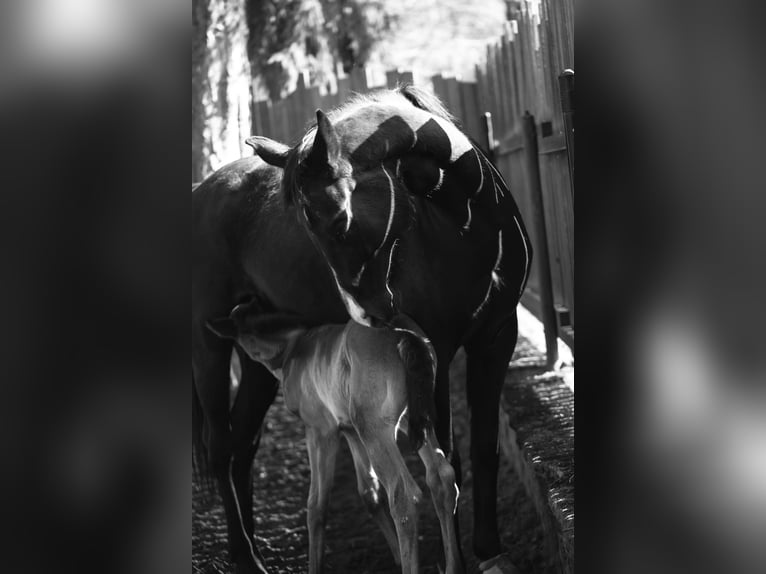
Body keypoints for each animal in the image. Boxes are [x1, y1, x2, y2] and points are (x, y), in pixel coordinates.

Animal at [207, 300, 463, 574]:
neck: (294, 348)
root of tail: (402, 334)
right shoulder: (350, 430)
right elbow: (368, 490)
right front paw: (395, 556)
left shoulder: (320, 431)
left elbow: (316, 504)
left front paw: (315, 565)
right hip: (410, 423)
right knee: (441, 476)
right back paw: (453, 566)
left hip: (374, 429)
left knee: (403, 493)